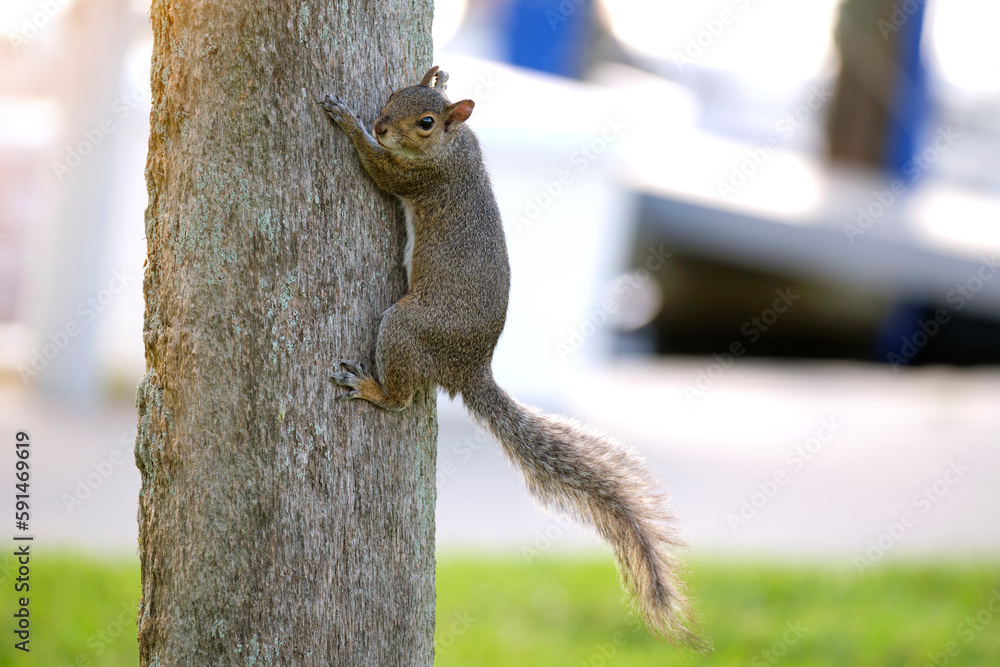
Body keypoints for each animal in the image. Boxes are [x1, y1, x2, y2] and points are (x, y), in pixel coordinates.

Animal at [321, 66, 705, 650]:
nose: (382, 124)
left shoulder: (421, 178)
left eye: (425, 121)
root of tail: (469, 367)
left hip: (405, 327)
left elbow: (381, 170)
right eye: (393, 96)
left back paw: (372, 389)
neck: (455, 146)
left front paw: (348, 123)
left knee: (401, 397)